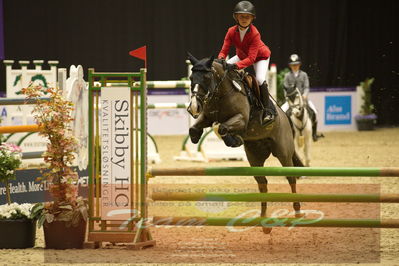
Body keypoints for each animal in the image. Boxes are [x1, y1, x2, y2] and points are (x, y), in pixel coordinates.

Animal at [186, 53, 304, 233]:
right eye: (191, 77)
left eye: (206, 77)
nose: (194, 107)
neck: (220, 93)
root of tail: (285, 116)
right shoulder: (206, 117)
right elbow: (195, 129)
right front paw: (197, 137)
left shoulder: (241, 119)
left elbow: (221, 127)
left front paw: (233, 140)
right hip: (255, 157)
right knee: (262, 183)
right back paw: (264, 221)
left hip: (283, 153)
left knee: (291, 178)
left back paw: (297, 212)